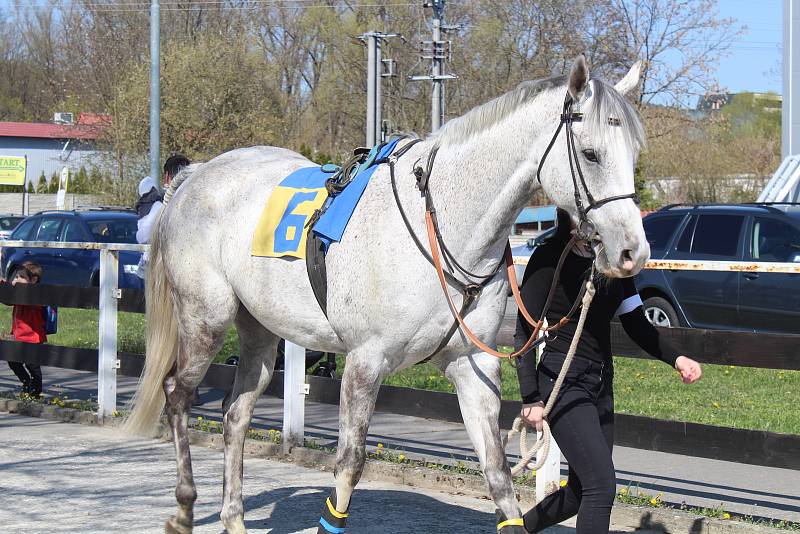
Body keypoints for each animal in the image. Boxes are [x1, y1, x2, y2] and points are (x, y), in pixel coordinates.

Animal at [123, 57, 648, 534]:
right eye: (592, 154)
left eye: (633, 155)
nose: (632, 251)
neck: (443, 223)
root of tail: (194, 178)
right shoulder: (365, 361)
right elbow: (349, 464)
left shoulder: (472, 365)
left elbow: (498, 473)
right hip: (206, 319)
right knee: (177, 395)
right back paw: (184, 507)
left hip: (260, 331)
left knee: (235, 417)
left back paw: (233, 518)